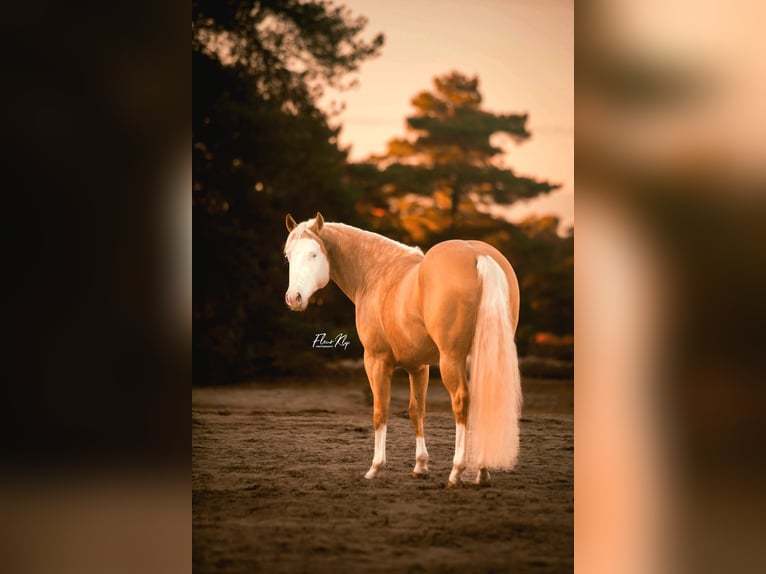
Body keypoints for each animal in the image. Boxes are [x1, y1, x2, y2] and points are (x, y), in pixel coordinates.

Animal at [284, 212, 524, 486]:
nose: (294, 298)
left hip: (451, 359)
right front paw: (420, 466)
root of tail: (478, 255)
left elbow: (380, 410)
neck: (377, 273)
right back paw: (482, 471)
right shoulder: (418, 367)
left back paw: (457, 471)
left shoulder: (376, 360)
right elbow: (416, 410)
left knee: (461, 401)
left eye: (314, 254)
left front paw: (375, 467)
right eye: (288, 256)